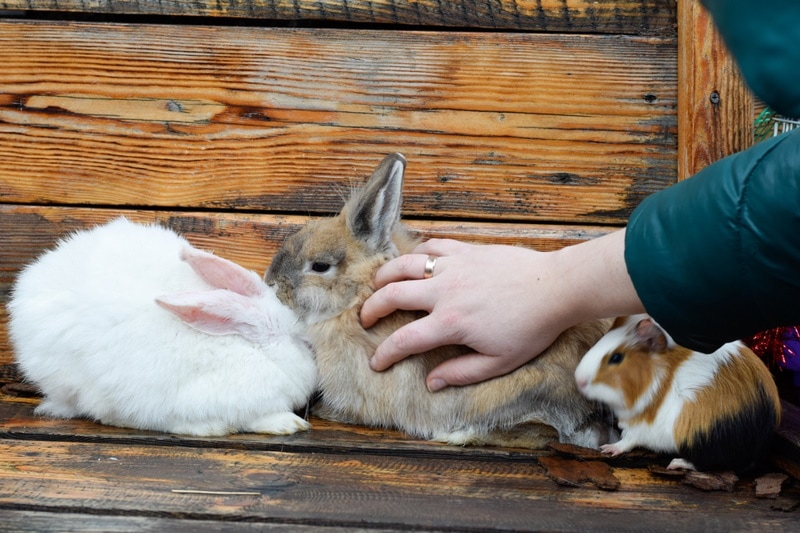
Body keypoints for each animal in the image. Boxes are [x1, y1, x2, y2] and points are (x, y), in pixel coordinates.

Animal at [265, 153, 614, 449]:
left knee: (541, 432)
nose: (271, 282)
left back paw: (456, 435)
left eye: (320, 266)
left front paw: (326, 412)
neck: (357, 297)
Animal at [574, 314, 782, 472]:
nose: (578, 379)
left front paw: (607, 449)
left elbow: (627, 441)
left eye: (616, 357)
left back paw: (675, 464)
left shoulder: (641, 427)